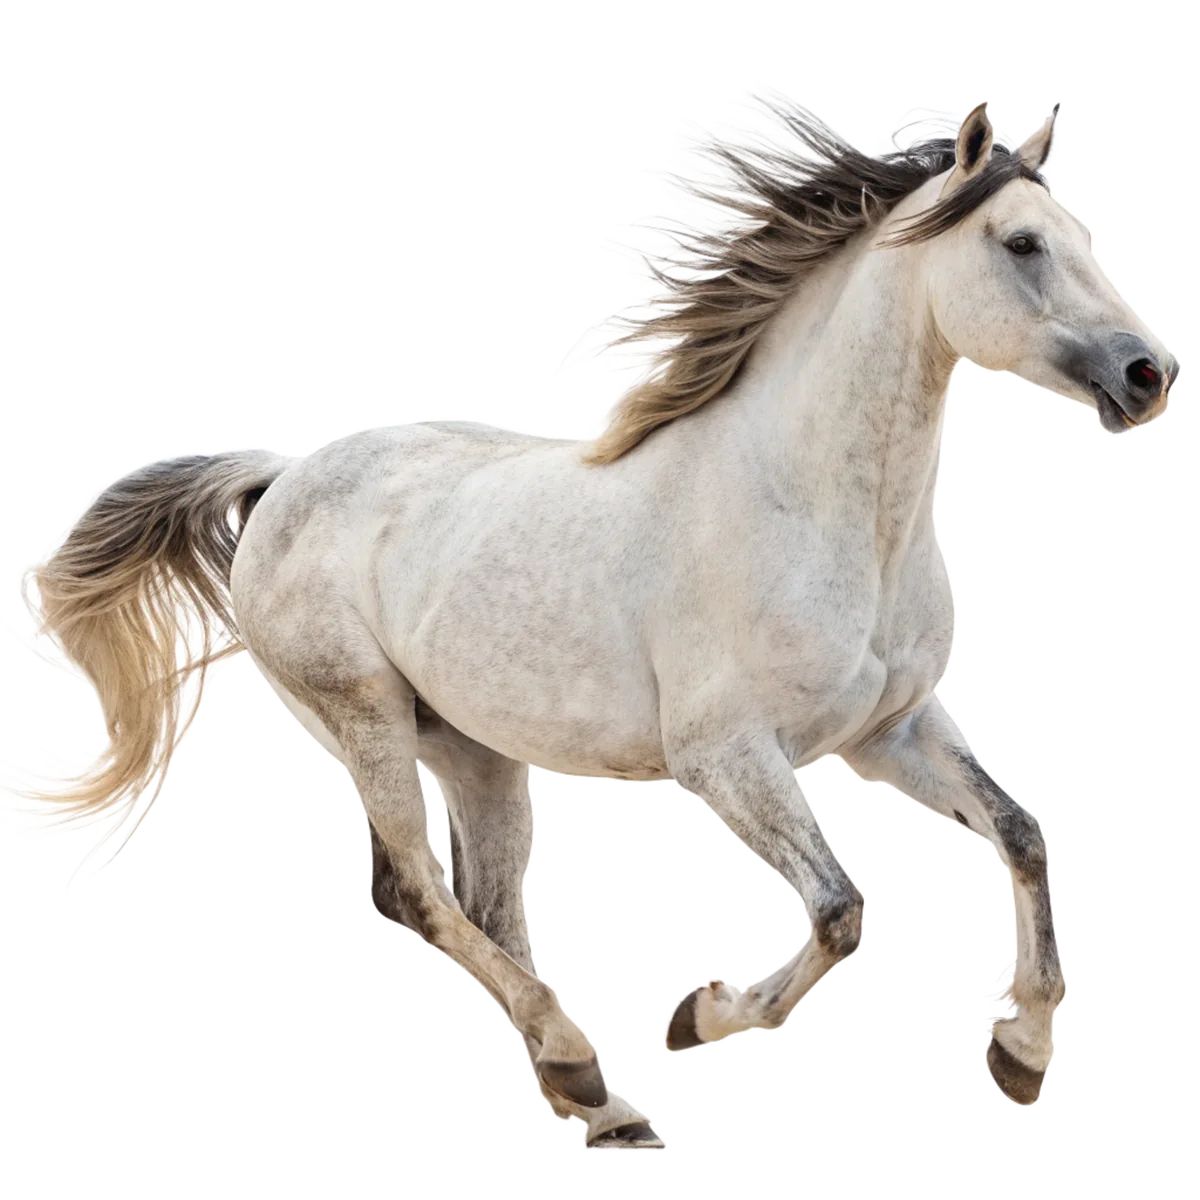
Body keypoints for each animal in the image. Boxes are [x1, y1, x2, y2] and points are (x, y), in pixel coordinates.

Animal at [2, 88, 1178, 1144]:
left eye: (1080, 234)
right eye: (1022, 243)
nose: (1146, 375)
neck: (813, 506)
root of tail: (284, 475)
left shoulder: (889, 733)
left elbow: (1024, 835)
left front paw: (1020, 1051)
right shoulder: (727, 757)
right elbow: (841, 908)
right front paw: (701, 1016)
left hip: (476, 749)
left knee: (483, 907)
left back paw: (597, 1102)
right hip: (364, 716)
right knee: (416, 891)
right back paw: (582, 1071)